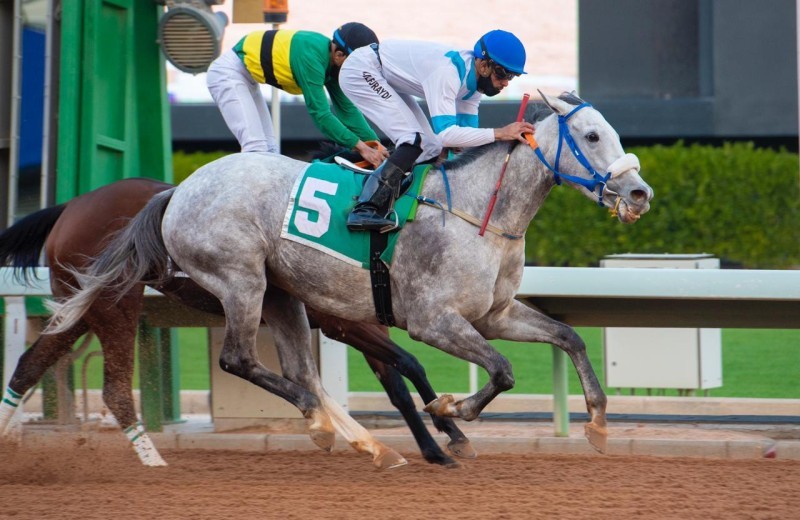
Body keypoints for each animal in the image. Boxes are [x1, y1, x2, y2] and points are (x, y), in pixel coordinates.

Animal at [0, 178, 476, 468]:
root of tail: (71, 206)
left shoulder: (364, 325)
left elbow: (398, 383)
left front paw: (436, 444)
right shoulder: (344, 323)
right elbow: (410, 365)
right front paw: (448, 435)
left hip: (79, 306)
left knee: (28, 365)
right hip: (115, 303)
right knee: (115, 389)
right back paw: (155, 462)